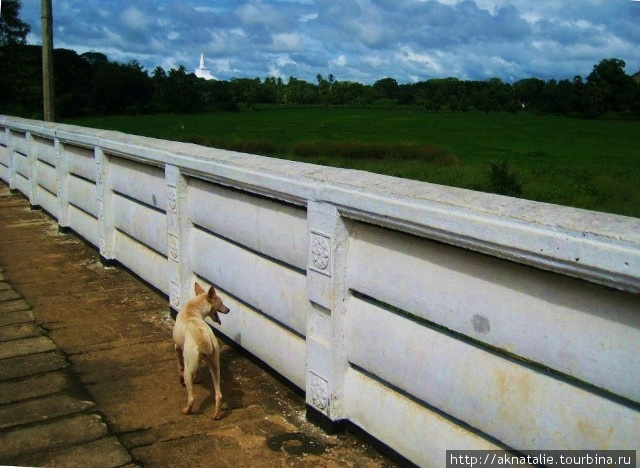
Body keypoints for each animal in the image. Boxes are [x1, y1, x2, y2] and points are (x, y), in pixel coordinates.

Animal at [172, 284, 230, 418]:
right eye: (221, 303)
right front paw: (198, 379)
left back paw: (186, 411)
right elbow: (198, 369)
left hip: (189, 369)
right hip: (215, 366)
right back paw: (216, 415)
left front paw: (181, 380)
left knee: (192, 397)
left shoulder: (177, 347)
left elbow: (180, 366)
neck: (193, 309)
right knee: (219, 394)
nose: (229, 310)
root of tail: (204, 338)